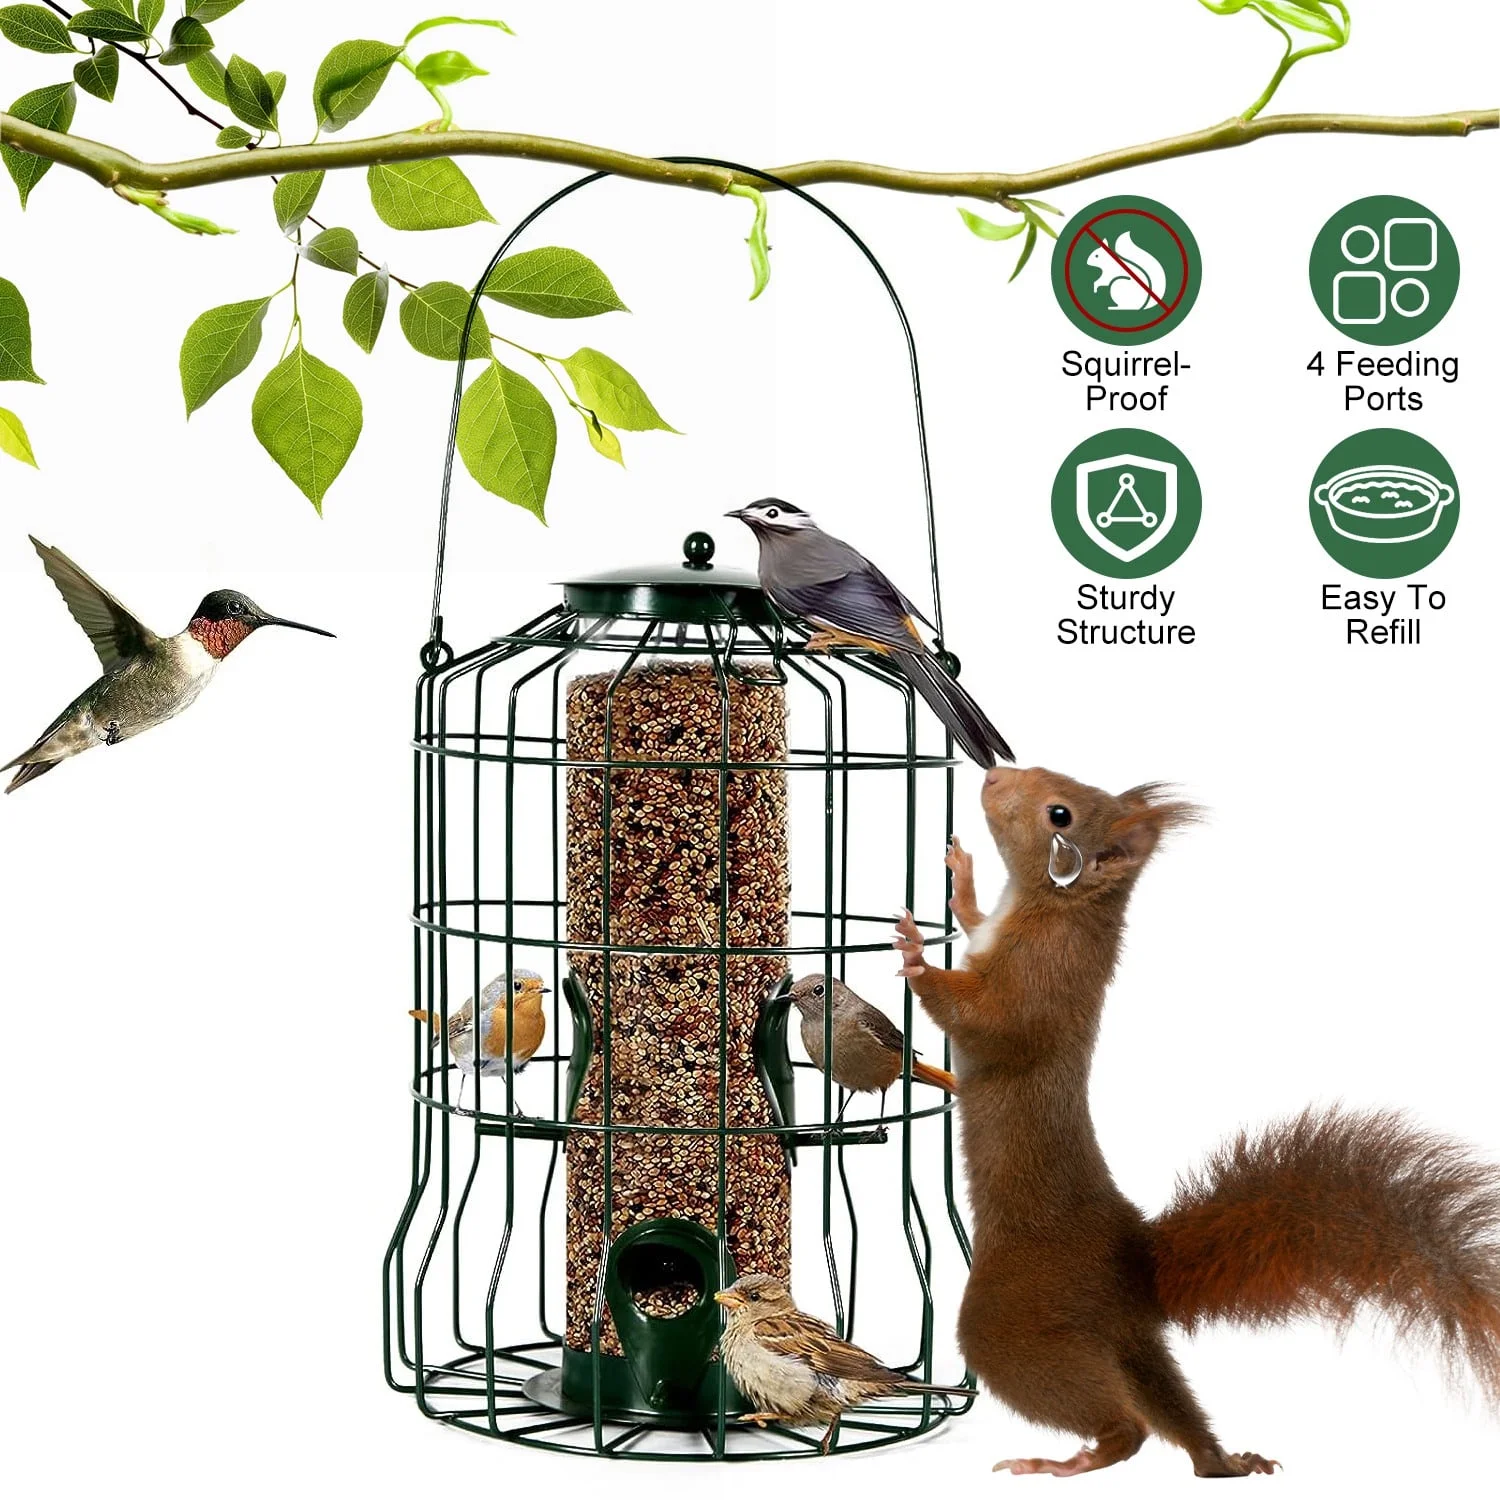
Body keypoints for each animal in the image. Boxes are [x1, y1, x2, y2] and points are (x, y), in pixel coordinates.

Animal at [891, 765, 1500, 1478]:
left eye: (1059, 813)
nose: (992, 773)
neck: (1053, 907)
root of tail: (1134, 1264)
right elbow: (972, 921)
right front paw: (961, 877)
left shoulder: (1041, 982)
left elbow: (986, 1023)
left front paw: (915, 955)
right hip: (1129, 1341)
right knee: (1172, 1411)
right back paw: (1227, 1461)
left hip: (1015, 1316)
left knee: (1125, 1426)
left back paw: (1068, 1462)